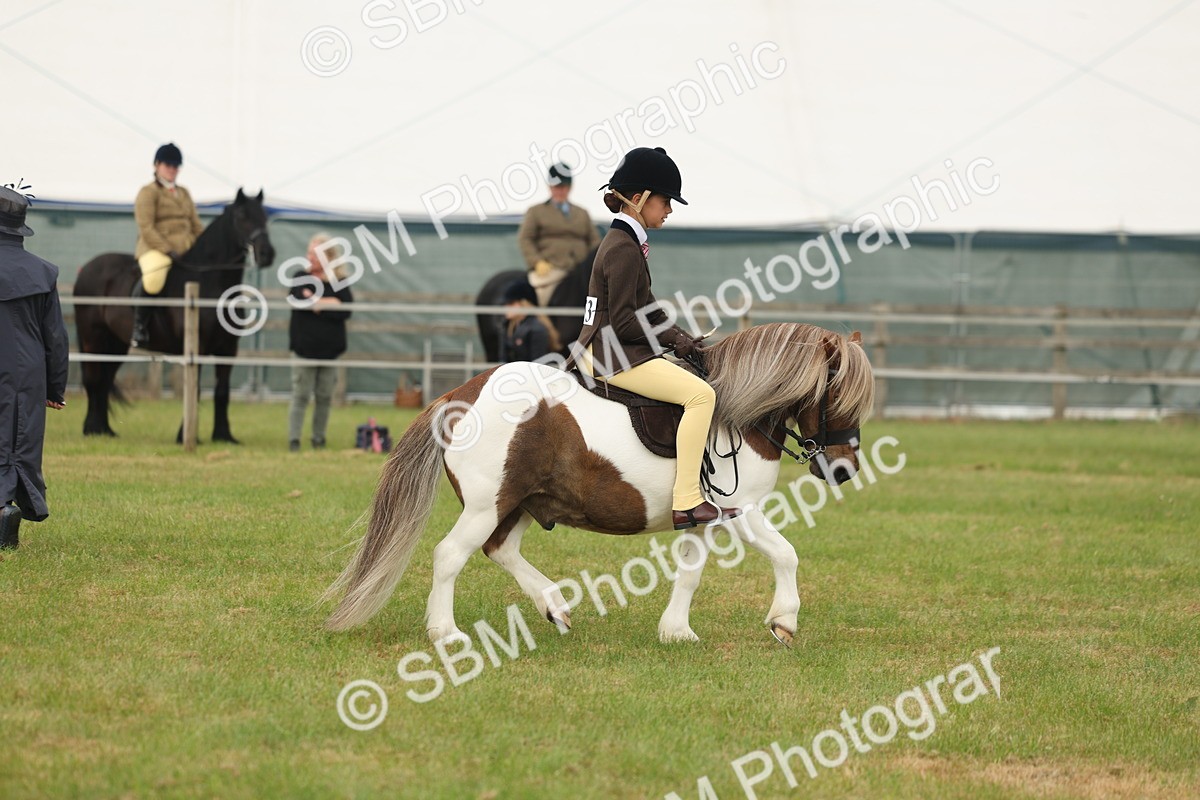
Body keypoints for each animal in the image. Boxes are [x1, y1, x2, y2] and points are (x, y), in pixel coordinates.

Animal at [73, 189, 275, 442]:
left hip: (116, 343)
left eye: (264, 216)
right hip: (93, 336)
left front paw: (223, 436)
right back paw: (91, 429)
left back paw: (105, 430)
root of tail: (88, 267)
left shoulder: (228, 349)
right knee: (93, 379)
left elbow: (222, 392)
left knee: (104, 380)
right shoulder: (197, 347)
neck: (210, 283)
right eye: (242, 216)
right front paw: (185, 436)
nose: (267, 254)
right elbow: (194, 390)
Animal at [325, 323, 875, 645]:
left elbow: (690, 574)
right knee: (450, 556)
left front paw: (676, 632)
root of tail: (459, 395)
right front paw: (784, 621)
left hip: (522, 502)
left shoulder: (704, 518)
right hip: (488, 504)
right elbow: (786, 555)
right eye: (837, 393)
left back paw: (555, 607)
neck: (737, 412)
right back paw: (446, 632)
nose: (843, 469)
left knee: (501, 550)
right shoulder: (744, 511)